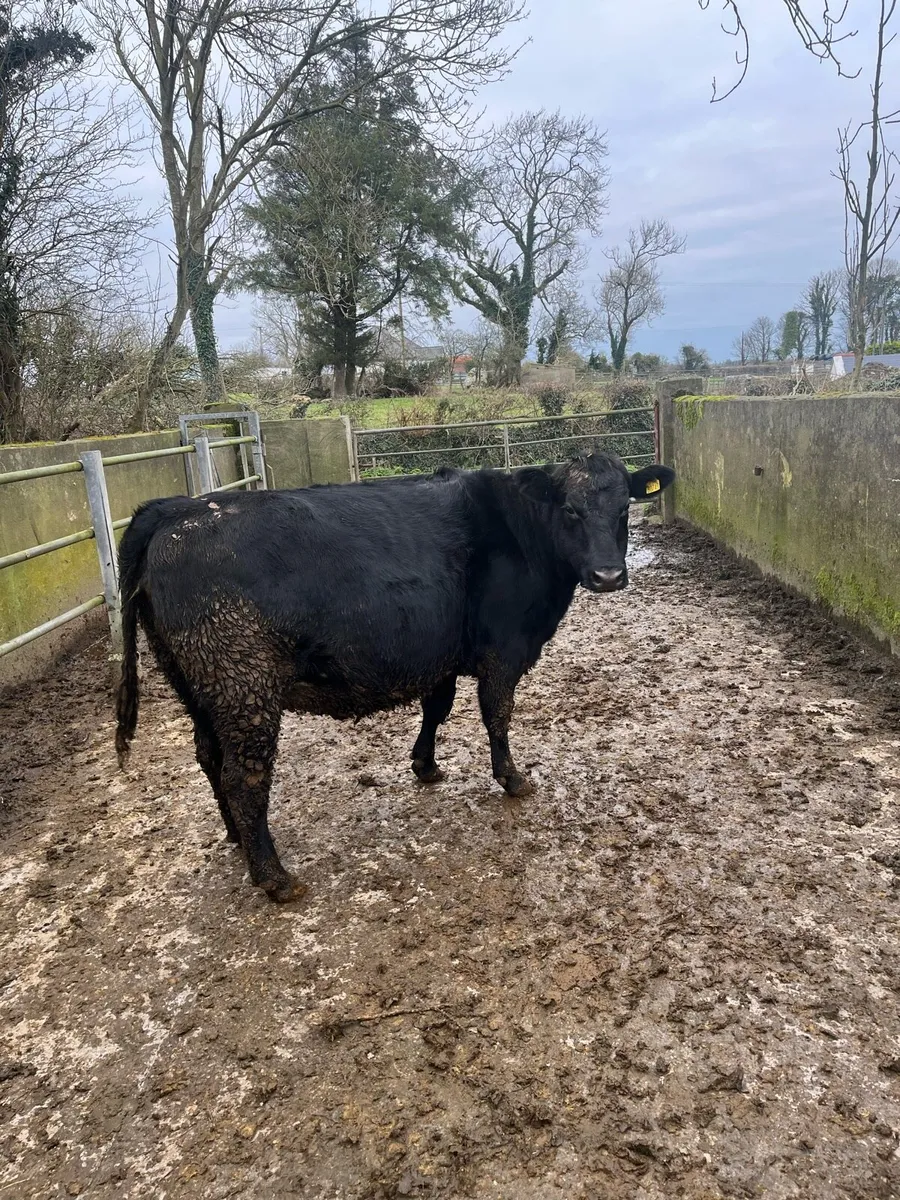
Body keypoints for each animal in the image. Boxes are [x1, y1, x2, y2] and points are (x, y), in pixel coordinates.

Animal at [115, 452, 674, 902]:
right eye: (571, 510)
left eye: (624, 510)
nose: (608, 575)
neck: (522, 534)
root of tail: (175, 510)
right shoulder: (502, 649)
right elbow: (497, 714)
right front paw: (511, 778)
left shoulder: (441, 652)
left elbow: (437, 709)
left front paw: (425, 765)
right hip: (243, 686)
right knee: (244, 777)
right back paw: (274, 877)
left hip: (196, 684)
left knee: (209, 758)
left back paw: (235, 839)